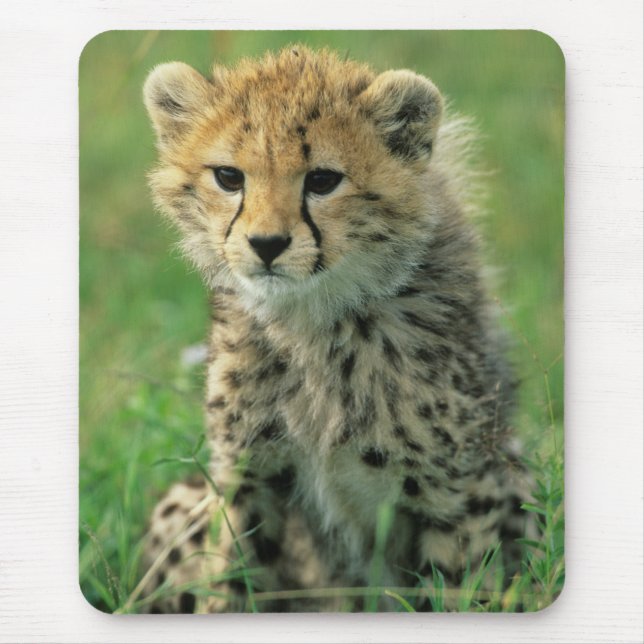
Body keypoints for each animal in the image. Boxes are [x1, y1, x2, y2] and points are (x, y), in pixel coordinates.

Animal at [139, 46, 534, 613]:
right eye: (229, 177)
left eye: (323, 180)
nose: (266, 244)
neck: (313, 321)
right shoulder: (247, 474)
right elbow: (230, 580)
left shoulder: (459, 489)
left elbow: (460, 586)